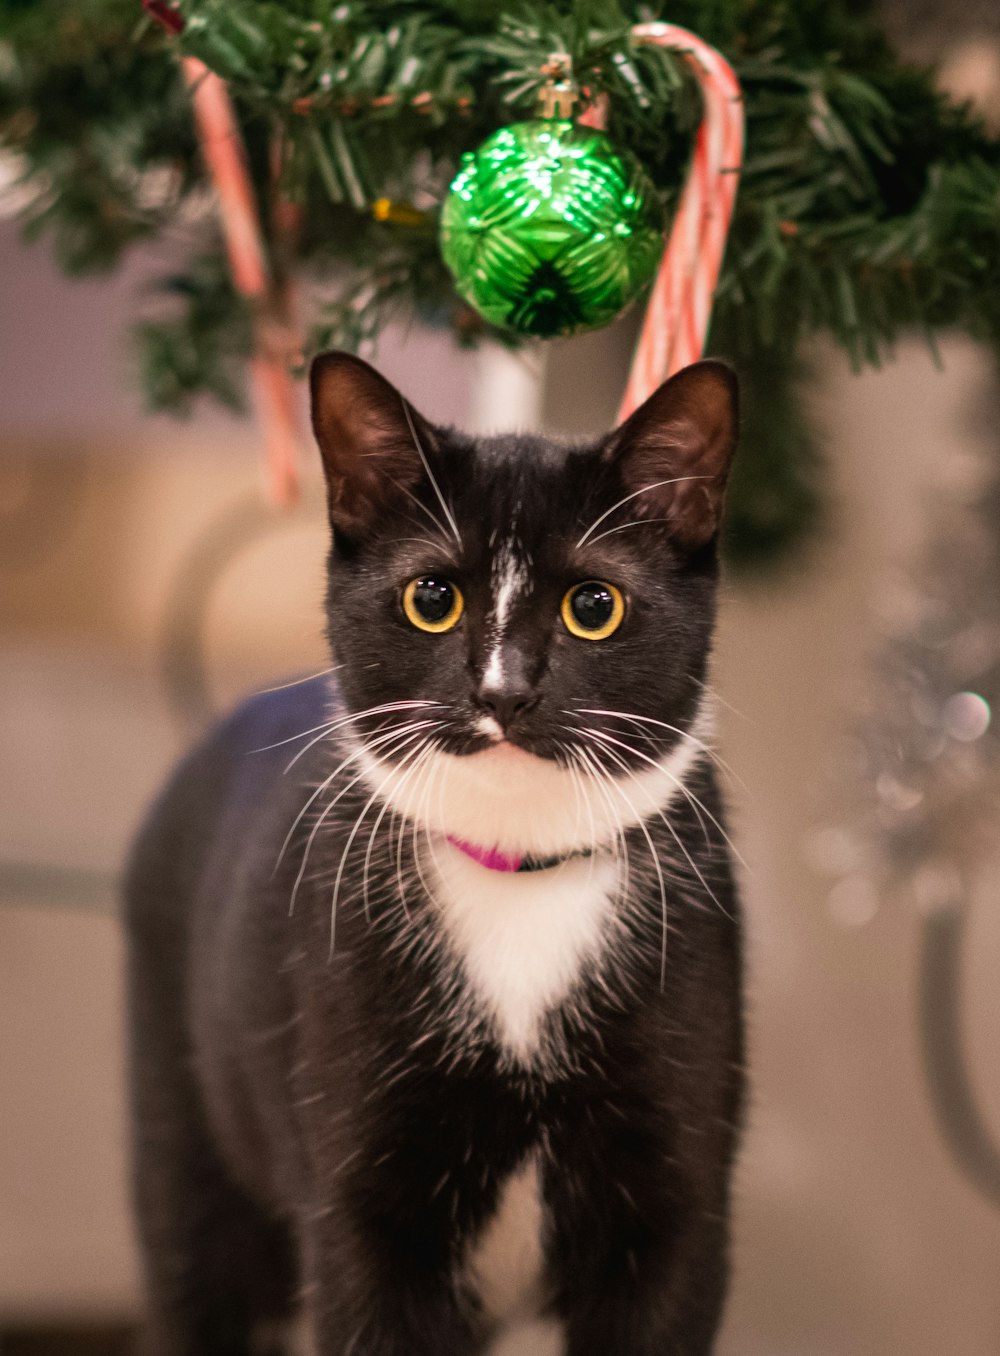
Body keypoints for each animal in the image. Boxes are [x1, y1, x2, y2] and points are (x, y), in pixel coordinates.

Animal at [124, 349, 743, 1356]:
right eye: (431, 600)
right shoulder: (359, 1213)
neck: (519, 874)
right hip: (184, 1128)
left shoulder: (676, 1210)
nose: (504, 693)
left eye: (595, 607)